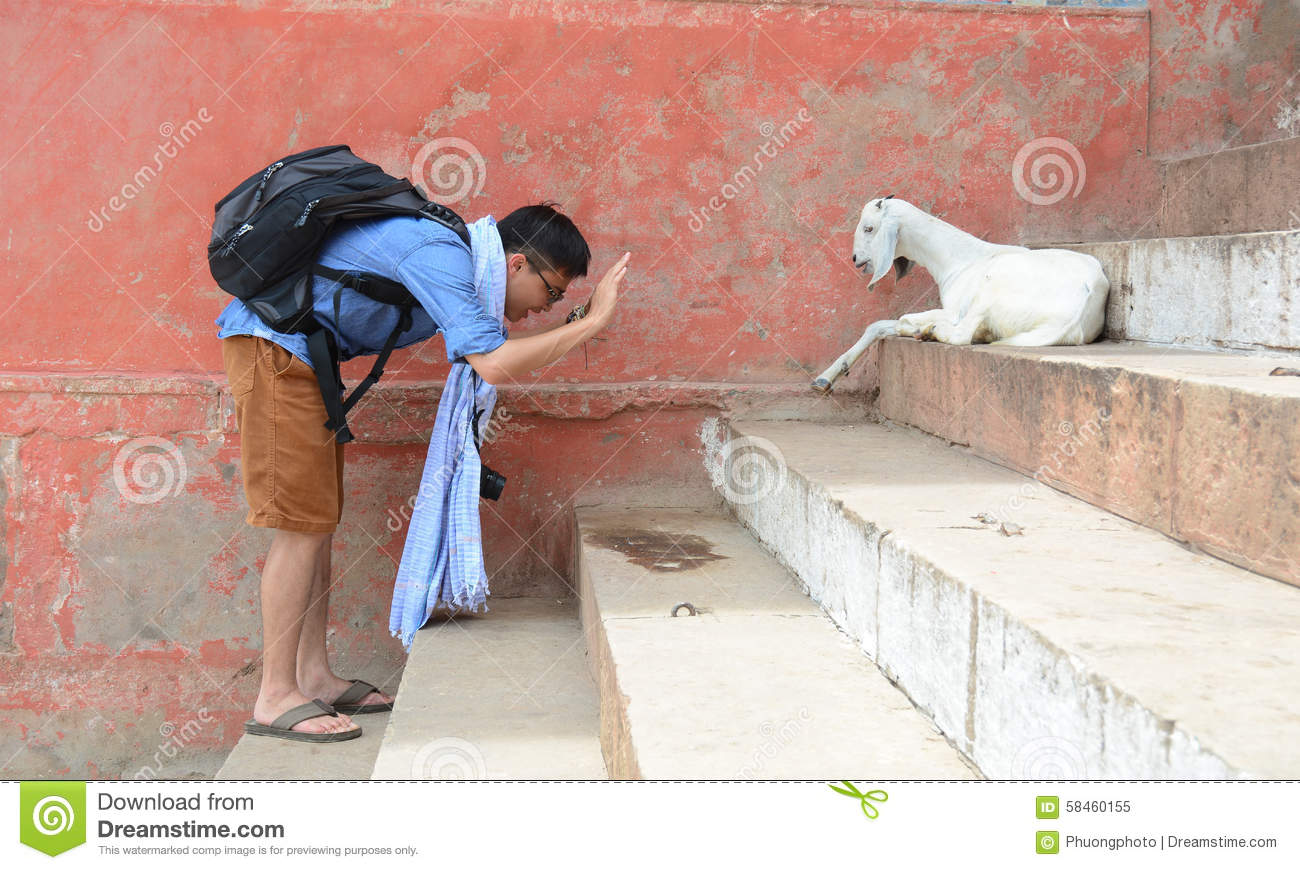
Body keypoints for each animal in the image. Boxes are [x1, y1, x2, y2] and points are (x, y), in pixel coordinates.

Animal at [811, 196, 1107, 392]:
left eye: (869, 228)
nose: (856, 259)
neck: (959, 259)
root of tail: (1083, 299)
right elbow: (878, 325)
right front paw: (826, 377)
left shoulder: (954, 311)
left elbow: (902, 319)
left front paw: (918, 328)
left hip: (991, 288)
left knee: (962, 334)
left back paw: (932, 331)